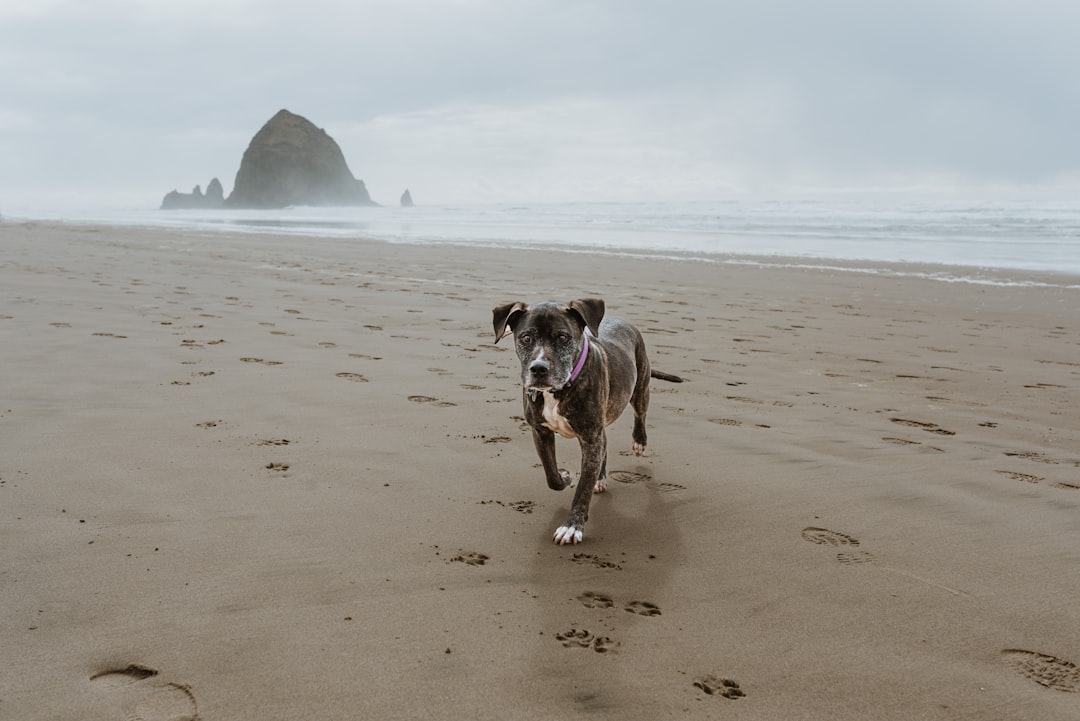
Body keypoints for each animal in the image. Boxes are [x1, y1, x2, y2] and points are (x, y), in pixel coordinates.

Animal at [492, 295, 678, 543]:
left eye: (563, 337)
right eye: (526, 338)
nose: (539, 368)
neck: (557, 391)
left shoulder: (590, 438)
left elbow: (583, 487)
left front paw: (572, 526)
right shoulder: (541, 432)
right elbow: (551, 475)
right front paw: (565, 476)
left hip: (640, 386)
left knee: (640, 413)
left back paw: (639, 442)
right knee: (605, 444)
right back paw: (600, 477)